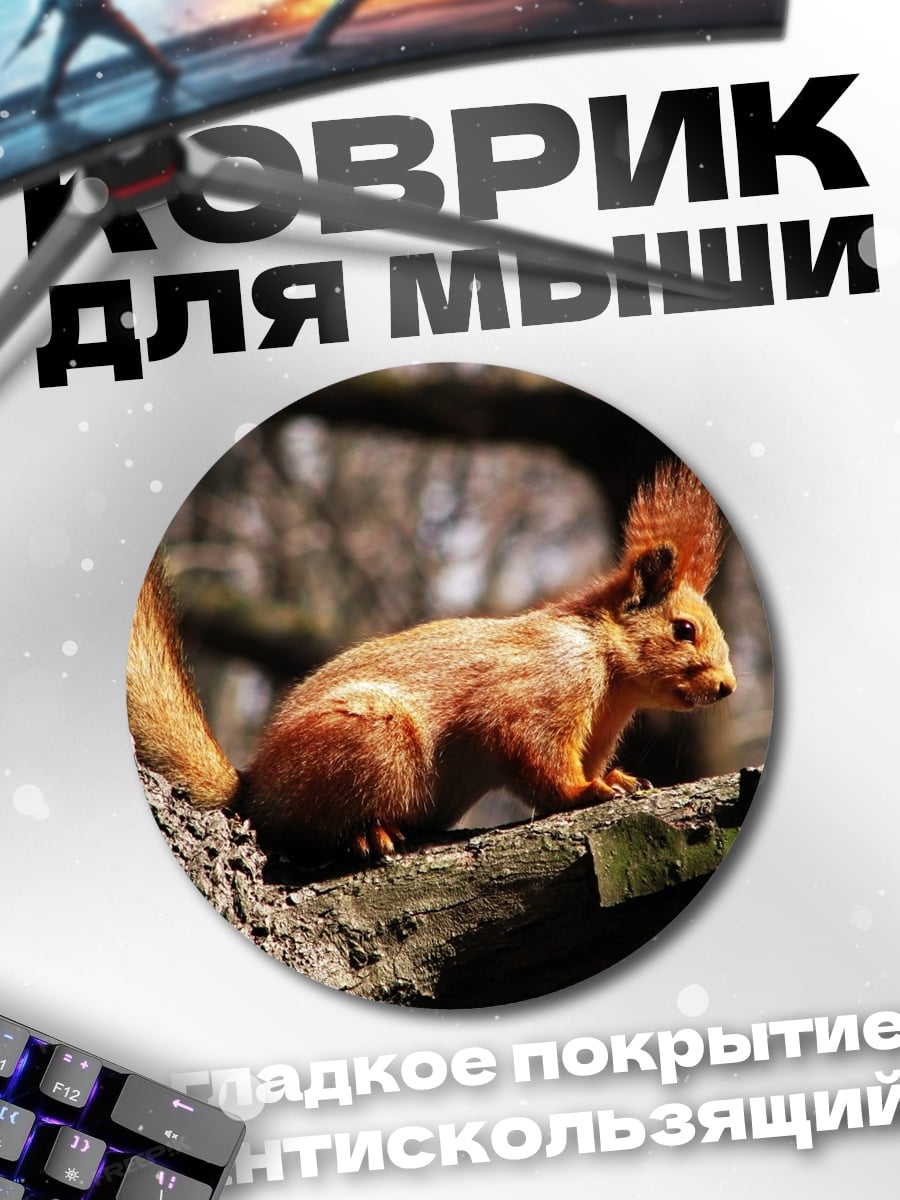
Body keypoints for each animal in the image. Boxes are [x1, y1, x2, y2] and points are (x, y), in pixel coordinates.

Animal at [126, 459, 737, 861]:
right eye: (684, 630)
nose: (728, 687)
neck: (608, 670)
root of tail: (255, 789)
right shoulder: (537, 692)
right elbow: (535, 759)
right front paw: (587, 791)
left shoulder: (598, 729)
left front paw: (616, 777)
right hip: (369, 738)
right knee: (301, 826)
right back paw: (364, 833)